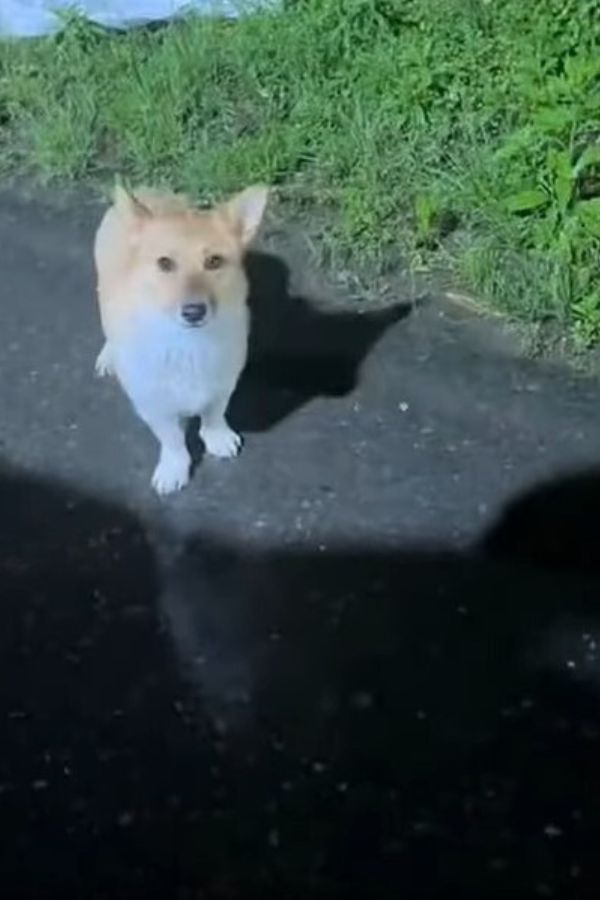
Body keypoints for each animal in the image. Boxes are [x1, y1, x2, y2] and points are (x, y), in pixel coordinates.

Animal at [93, 180, 268, 496]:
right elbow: (172, 439)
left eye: (214, 261)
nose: (194, 312)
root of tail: (146, 188)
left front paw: (217, 437)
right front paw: (174, 469)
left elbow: (214, 414)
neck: (188, 344)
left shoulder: (223, 385)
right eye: (164, 263)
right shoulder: (153, 406)